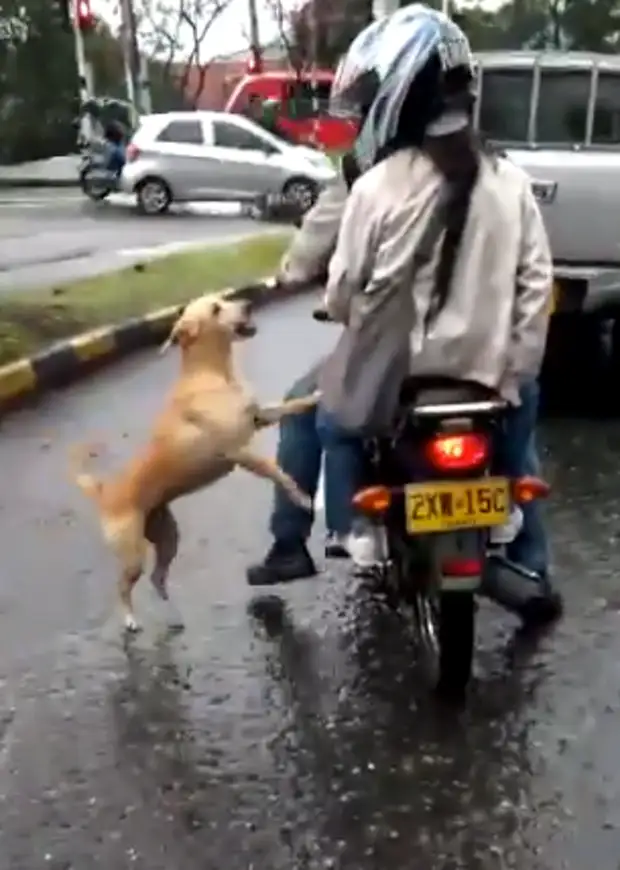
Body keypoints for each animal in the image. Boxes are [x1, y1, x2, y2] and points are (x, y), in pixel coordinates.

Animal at [72, 294, 320, 632]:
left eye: (225, 299)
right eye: (216, 309)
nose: (247, 303)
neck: (214, 375)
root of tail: (104, 492)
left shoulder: (261, 417)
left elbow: (292, 406)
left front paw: (317, 396)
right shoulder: (240, 452)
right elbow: (277, 472)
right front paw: (302, 498)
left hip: (167, 538)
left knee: (158, 578)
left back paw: (174, 616)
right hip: (133, 554)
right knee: (123, 587)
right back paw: (130, 620)